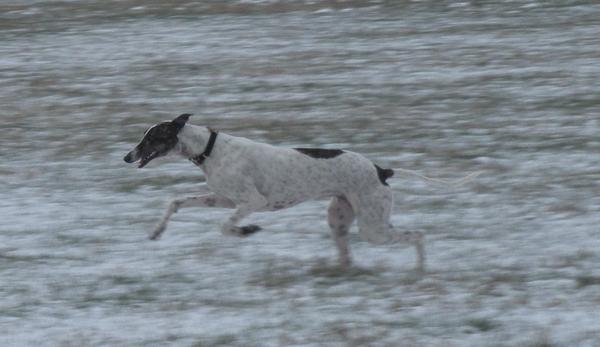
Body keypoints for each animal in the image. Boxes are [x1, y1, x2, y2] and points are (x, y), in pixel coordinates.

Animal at [124, 113, 426, 270]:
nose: (127, 157)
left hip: (372, 227)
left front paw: (247, 230)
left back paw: (420, 269)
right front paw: (156, 231)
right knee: (347, 254)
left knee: (417, 235)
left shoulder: (252, 202)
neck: (210, 148)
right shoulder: (224, 199)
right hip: (340, 219)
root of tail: (381, 170)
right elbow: (176, 202)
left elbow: (224, 226)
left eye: (151, 137)